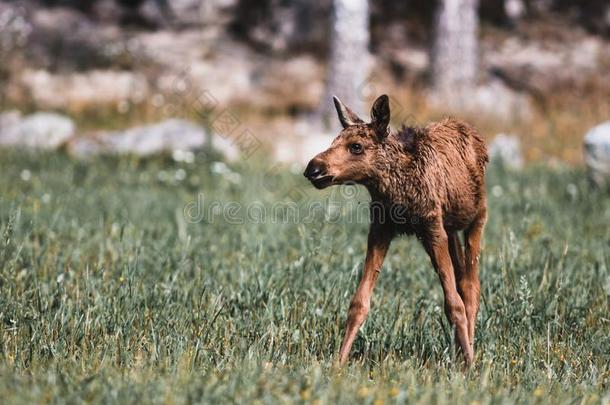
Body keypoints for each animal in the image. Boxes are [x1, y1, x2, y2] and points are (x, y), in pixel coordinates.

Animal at [302, 94, 486, 362]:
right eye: (333, 140)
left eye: (356, 146)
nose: (313, 168)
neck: (397, 193)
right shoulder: (381, 228)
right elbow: (359, 302)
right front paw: (338, 362)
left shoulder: (432, 226)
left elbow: (454, 304)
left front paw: (470, 364)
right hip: (450, 229)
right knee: (462, 278)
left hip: (477, 217)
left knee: (471, 287)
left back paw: (468, 352)